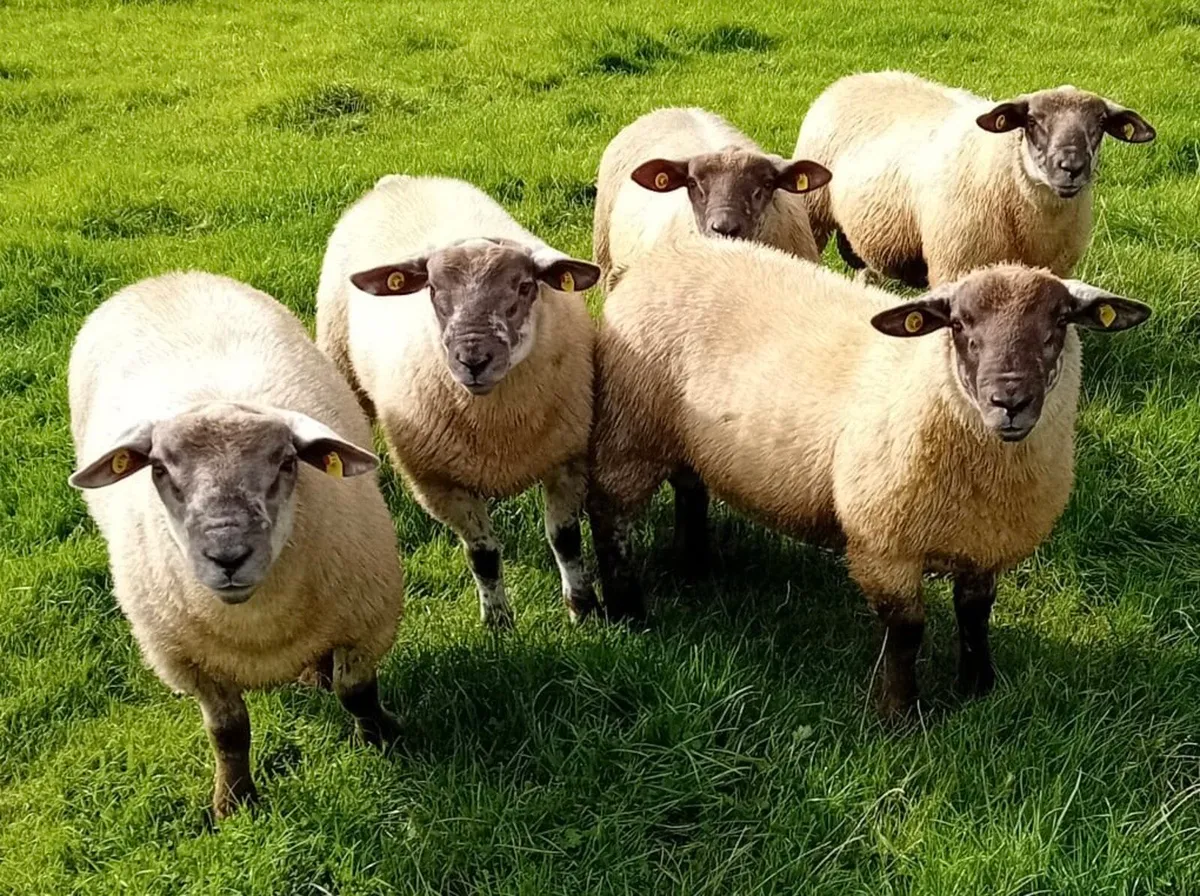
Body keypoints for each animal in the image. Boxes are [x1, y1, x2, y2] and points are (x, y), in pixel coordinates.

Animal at [68, 271, 404, 818]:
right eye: (158, 469)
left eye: (286, 462)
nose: (228, 557)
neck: (257, 626)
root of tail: (167, 277)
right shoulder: (189, 662)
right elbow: (227, 731)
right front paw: (234, 802)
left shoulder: (367, 622)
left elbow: (357, 692)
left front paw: (384, 739)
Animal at [316, 175, 601, 629]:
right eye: (432, 289)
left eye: (525, 286)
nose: (473, 359)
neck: (499, 429)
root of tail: (401, 180)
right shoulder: (438, 482)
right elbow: (482, 555)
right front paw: (499, 623)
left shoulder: (568, 457)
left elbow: (565, 538)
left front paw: (583, 608)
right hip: (341, 362)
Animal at [587, 239, 1151, 718]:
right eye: (959, 325)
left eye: (1060, 322)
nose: (1009, 401)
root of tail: (653, 260)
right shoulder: (883, 546)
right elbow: (907, 631)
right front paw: (898, 713)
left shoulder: (983, 543)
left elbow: (975, 617)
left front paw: (977, 689)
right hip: (630, 430)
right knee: (610, 516)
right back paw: (627, 612)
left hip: (684, 439)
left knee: (690, 488)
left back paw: (693, 564)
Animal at [794, 72, 1156, 287]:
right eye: (1032, 121)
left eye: (1100, 124)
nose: (1071, 166)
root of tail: (855, 77)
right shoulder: (955, 265)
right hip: (813, 213)